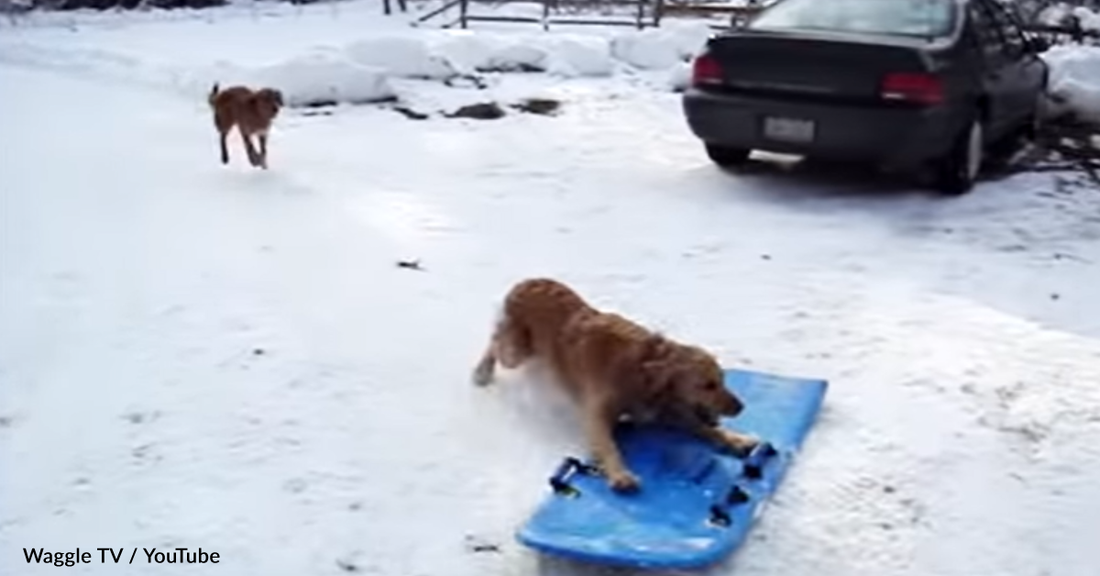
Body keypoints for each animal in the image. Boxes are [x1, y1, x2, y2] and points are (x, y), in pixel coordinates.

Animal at [473, 278, 756, 490]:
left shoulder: (662, 410)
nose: (741, 407)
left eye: (722, 380)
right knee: (494, 343)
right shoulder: (596, 414)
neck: (642, 371)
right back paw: (481, 372)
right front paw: (621, 475)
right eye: (707, 385)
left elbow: (704, 427)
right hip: (517, 351)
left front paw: (736, 439)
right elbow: (609, 445)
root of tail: (528, 281)